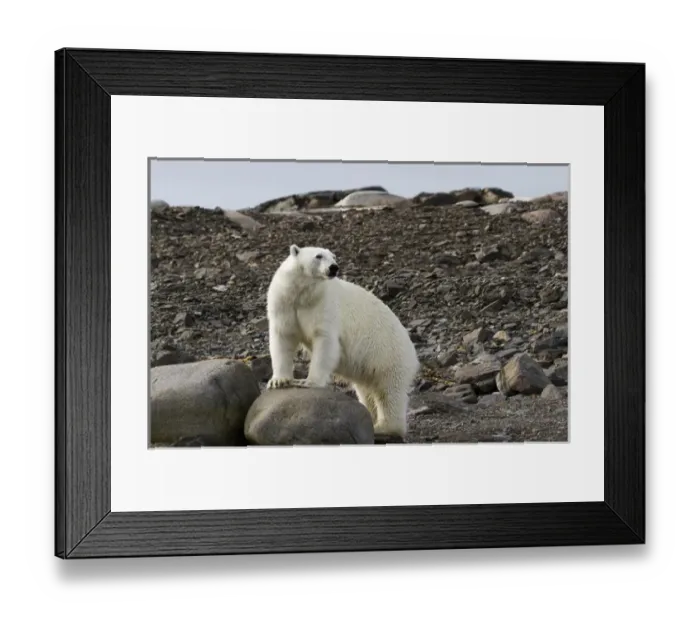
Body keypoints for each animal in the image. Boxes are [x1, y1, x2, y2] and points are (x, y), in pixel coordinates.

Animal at [265, 244, 420, 441]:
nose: (334, 267)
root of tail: (413, 353)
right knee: (367, 391)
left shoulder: (324, 306)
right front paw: (279, 381)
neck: (303, 292)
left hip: (390, 356)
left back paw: (384, 427)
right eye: (318, 256)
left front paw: (308, 382)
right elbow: (283, 338)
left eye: (333, 256)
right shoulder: (284, 302)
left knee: (389, 393)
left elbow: (325, 342)